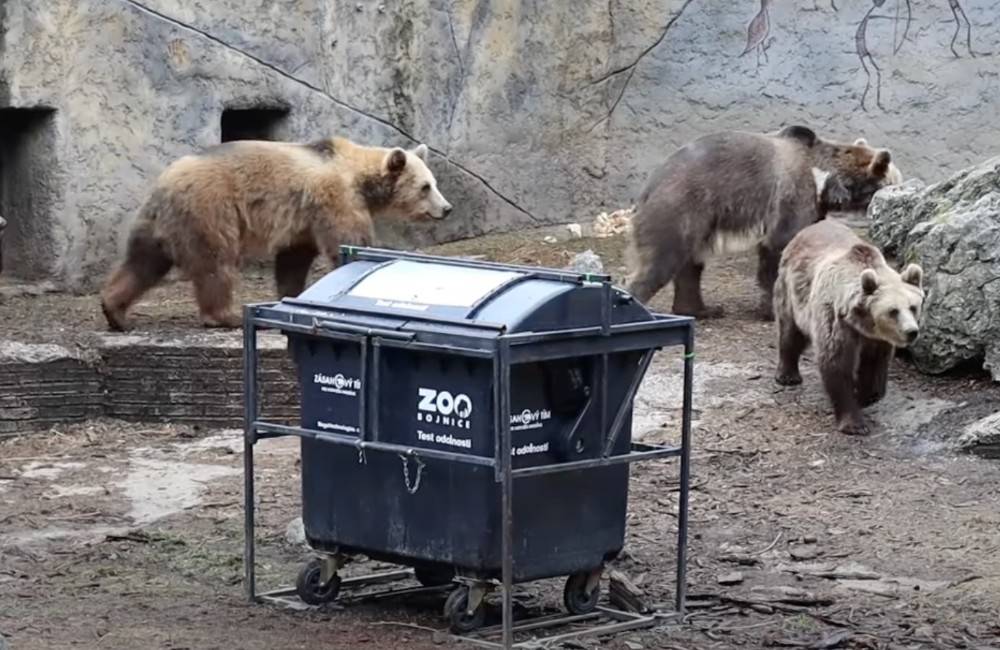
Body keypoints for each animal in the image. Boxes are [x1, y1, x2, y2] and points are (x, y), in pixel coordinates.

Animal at [99, 137, 452, 330]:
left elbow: (293, 259)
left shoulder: (302, 221)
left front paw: (292, 294)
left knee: (142, 263)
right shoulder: (336, 200)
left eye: (434, 183)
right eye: (425, 187)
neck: (360, 178)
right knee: (215, 263)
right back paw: (223, 315)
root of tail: (165, 184)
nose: (446, 208)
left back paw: (116, 312)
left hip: (156, 223)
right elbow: (347, 243)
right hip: (210, 210)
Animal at [624, 125, 900, 318]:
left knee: (690, 266)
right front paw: (772, 309)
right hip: (680, 208)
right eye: (894, 181)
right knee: (661, 261)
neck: (824, 179)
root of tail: (648, 187)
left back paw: (702, 310)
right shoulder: (793, 196)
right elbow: (780, 246)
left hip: (699, 223)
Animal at [768, 219, 924, 436]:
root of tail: (808, 229)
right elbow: (836, 364)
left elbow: (874, 363)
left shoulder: (876, 338)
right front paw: (854, 423)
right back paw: (787, 376)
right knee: (790, 331)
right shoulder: (835, 320)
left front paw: (866, 394)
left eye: (913, 307)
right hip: (791, 290)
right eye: (893, 311)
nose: (911, 332)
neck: (862, 322)